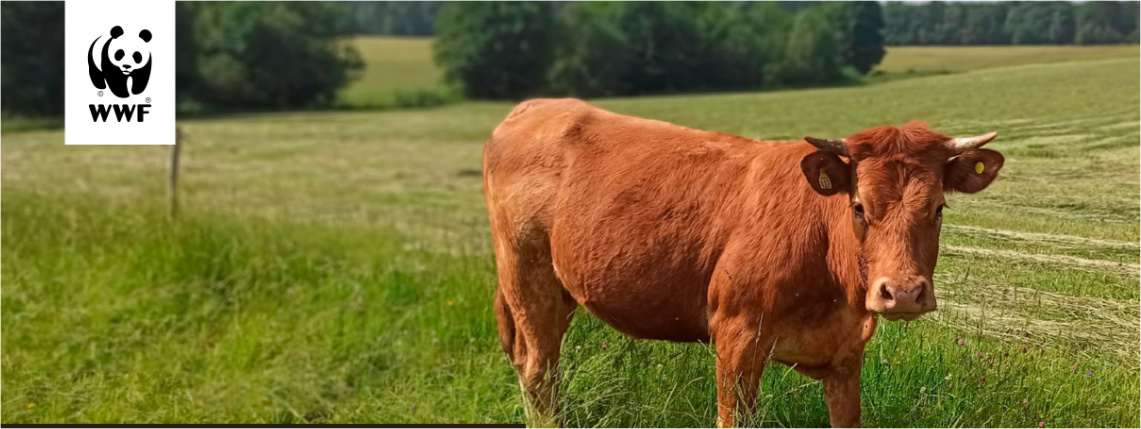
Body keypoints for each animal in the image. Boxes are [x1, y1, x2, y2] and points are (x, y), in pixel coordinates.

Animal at [486, 98, 1004, 426]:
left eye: (938, 208)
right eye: (858, 207)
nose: (903, 292)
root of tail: (535, 106)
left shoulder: (846, 353)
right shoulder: (736, 337)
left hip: (559, 288)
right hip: (525, 273)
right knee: (538, 371)